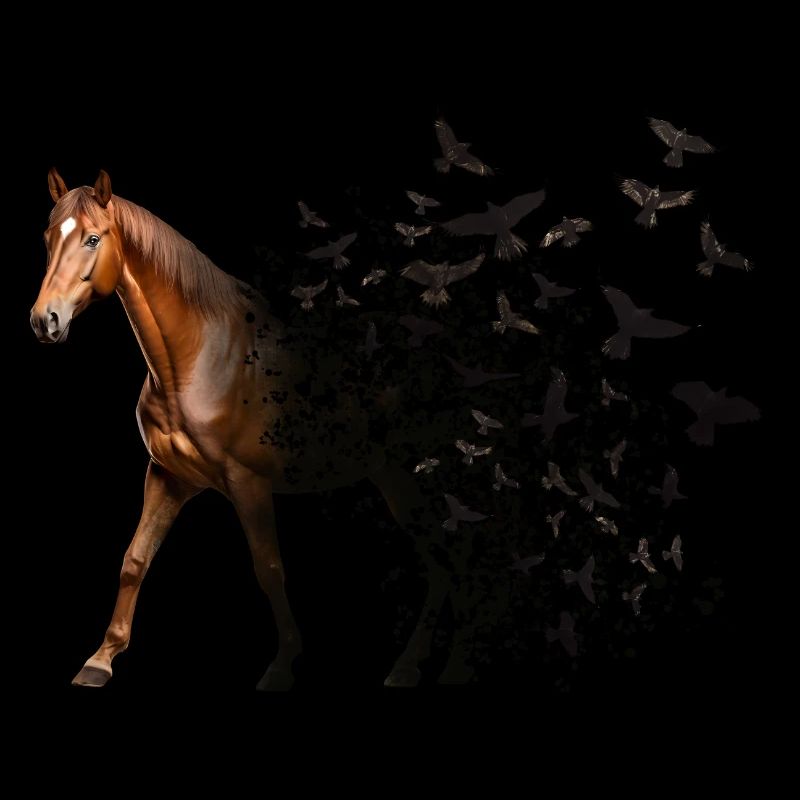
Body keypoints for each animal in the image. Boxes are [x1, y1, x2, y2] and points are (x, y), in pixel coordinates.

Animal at [30, 169, 453, 690]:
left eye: (93, 238)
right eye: (48, 238)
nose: (45, 320)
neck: (197, 363)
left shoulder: (248, 482)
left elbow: (268, 568)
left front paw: (282, 664)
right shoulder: (167, 477)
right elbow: (134, 559)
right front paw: (100, 659)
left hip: (408, 478)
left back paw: (421, 665)